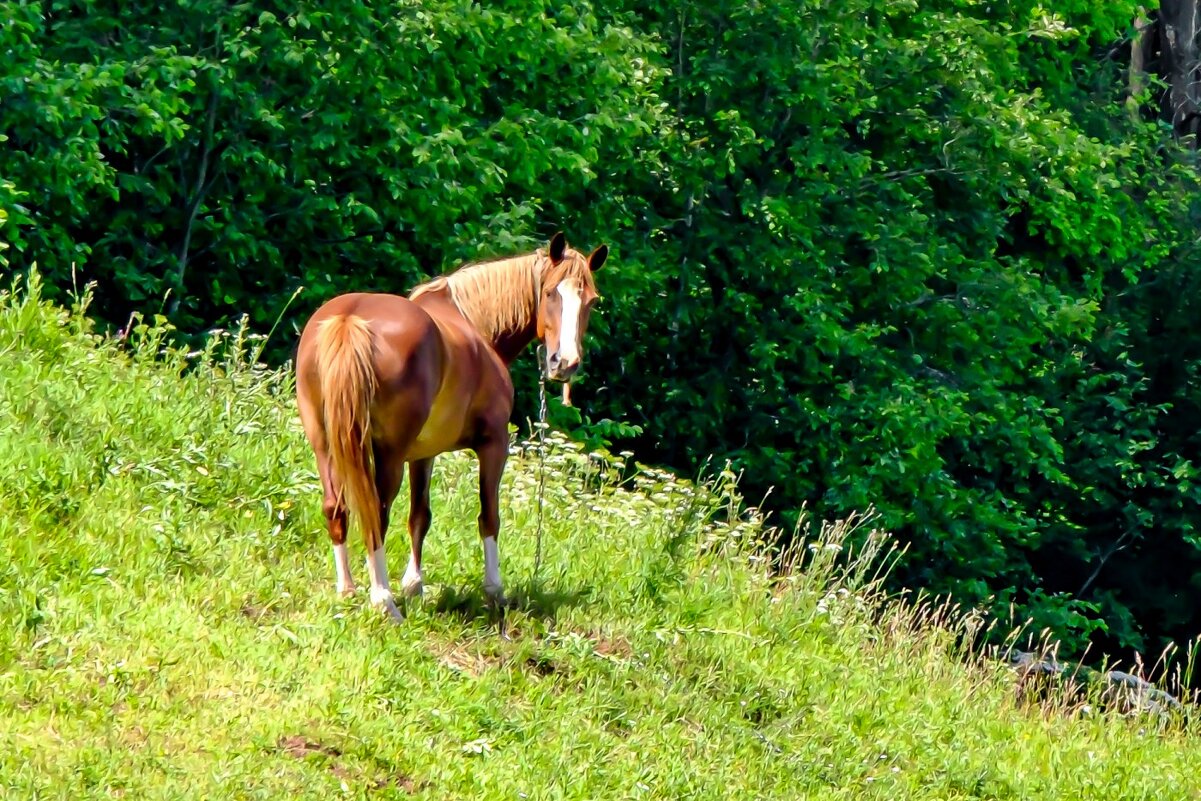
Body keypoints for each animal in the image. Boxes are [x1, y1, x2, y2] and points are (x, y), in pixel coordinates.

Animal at [291, 231, 610, 619]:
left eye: (590, 301)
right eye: (550, 292)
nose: (564, 362)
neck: (474, 324)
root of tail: (348, 320)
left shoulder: (422, 454)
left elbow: (419, 516)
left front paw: (414, 585)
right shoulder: (493, 445)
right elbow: (489, 517)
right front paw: (494, 590)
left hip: (326, 445)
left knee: (336, 508)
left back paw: (348, 591)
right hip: (388, 456)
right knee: (374, 514)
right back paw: (383, 600)